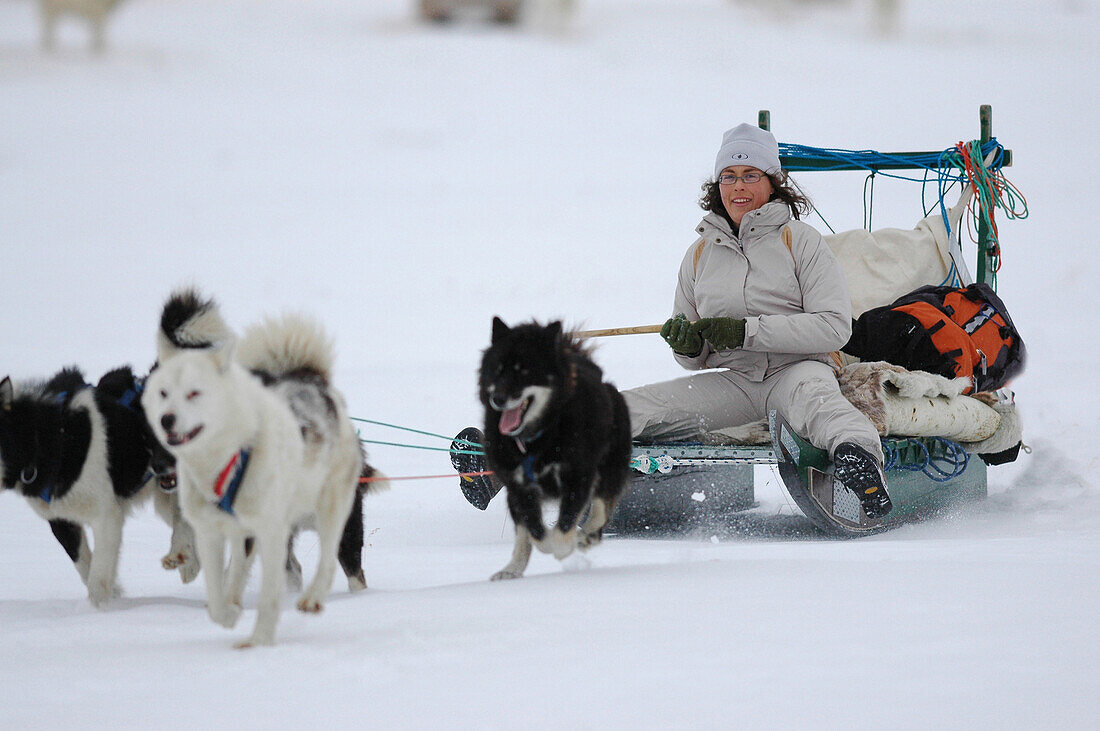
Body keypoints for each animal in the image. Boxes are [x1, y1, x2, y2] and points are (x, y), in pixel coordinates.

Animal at [1, 362, 194, 602]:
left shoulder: (106, 516)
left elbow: (98, 577)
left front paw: (101, 608)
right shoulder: (60, 519)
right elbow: (84, 565)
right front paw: (115, 595)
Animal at [144, 290, 369, 646]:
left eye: (195, 393)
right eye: (163, 393)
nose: (167, 421)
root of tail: (309, 378)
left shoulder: (269, 529)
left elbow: (265, 591)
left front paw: (259, 640)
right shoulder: (211, 531)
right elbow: (217, 590)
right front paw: (228, 612)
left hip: (334, 509)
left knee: (333, 560)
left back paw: (315, 598)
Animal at [479, 316, 633, 580]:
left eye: (524, 371)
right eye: (497, 370)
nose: (497, 398)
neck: (535, 440)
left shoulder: (577, 476)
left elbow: (564, 528)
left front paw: (565, 546)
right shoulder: (519, 487)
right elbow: (535, 533)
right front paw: (548, 543)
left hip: (609, 467)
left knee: (600, 511)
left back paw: (585, 538)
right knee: (523, 535)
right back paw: (512, 568)